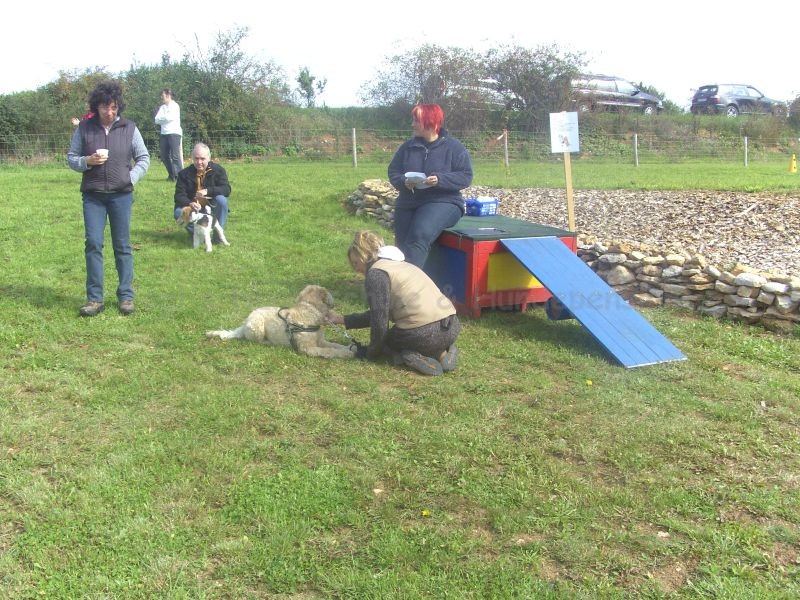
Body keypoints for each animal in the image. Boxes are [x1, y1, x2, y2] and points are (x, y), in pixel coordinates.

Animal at [206, 285, 356, 359]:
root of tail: (243, 325)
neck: (308, 310)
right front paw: (346, 354)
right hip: (257, 326)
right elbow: (329, 351)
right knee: (256, 341)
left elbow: (335, 345)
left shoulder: (321, 341)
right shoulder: (308, 348)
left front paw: (349, 348)